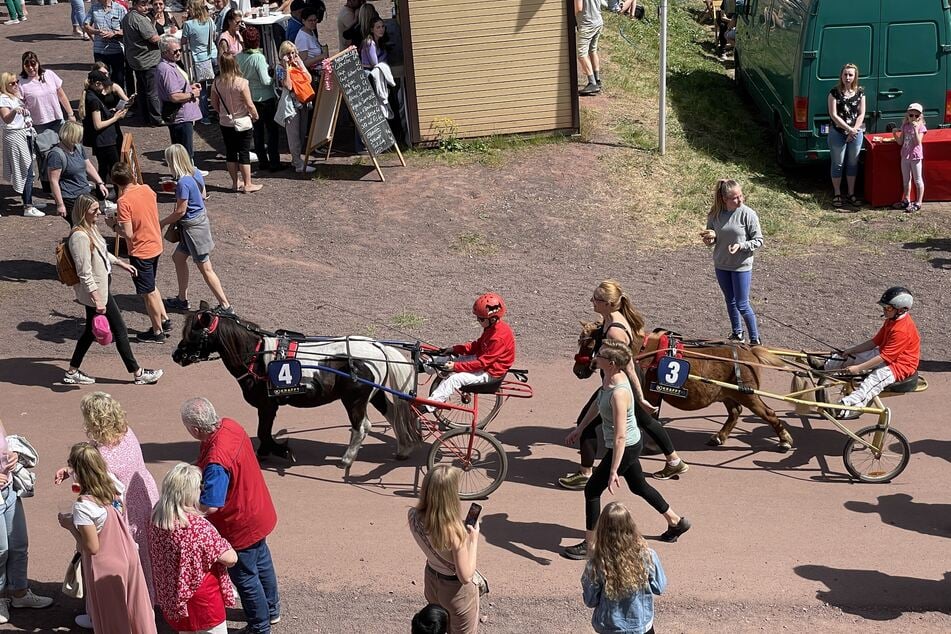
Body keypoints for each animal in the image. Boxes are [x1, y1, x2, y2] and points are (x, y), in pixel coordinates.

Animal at [175, 308, 420, 466]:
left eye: (193, 333)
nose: (176, 355)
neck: (259, 355)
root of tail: (377, 347)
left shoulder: (267, 405)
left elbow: (263, 432)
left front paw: (279, 450)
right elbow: (264, 432)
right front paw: (267, 451)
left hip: (354, 399)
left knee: (362, 426)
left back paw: (347, 458)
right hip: (374, 393)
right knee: (393, 414)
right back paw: (403, 449)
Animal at [572, 320, 796, 450]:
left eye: (588, 344)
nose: (577, 370)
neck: (642, 351)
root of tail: (748, 351)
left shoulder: (650, 394)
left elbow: (652, 416)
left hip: (747, 394)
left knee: (768, 413)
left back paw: (784, 438)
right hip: (727, 393)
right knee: (734, 412)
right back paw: (719, 436)